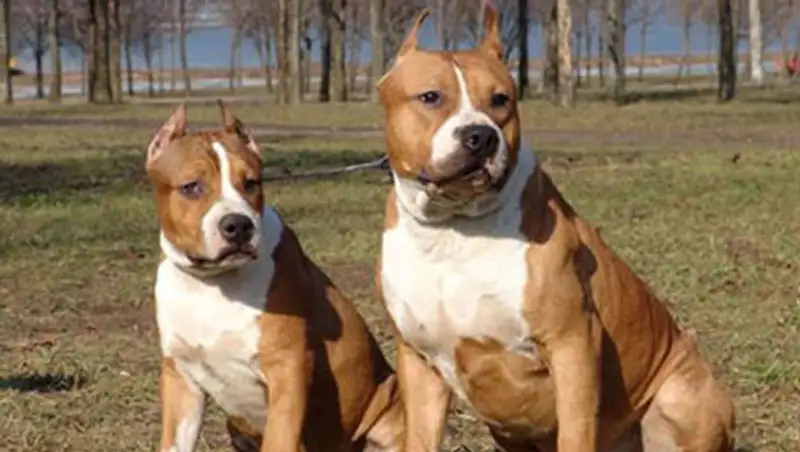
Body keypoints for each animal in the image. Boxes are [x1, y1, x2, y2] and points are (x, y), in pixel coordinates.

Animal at [147, 101, 403, 452]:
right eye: (191, 187)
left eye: (251, 183)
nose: (238, 225)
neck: (213, 283)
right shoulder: (181, 379)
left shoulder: (288, 368)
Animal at [374, 6, 735, 452]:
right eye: (430, 97)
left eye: (500, 100)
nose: (481, 136)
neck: (452, 230)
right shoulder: (418, 360)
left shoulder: (573, 344)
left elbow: (576, 428)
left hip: (682, 395)